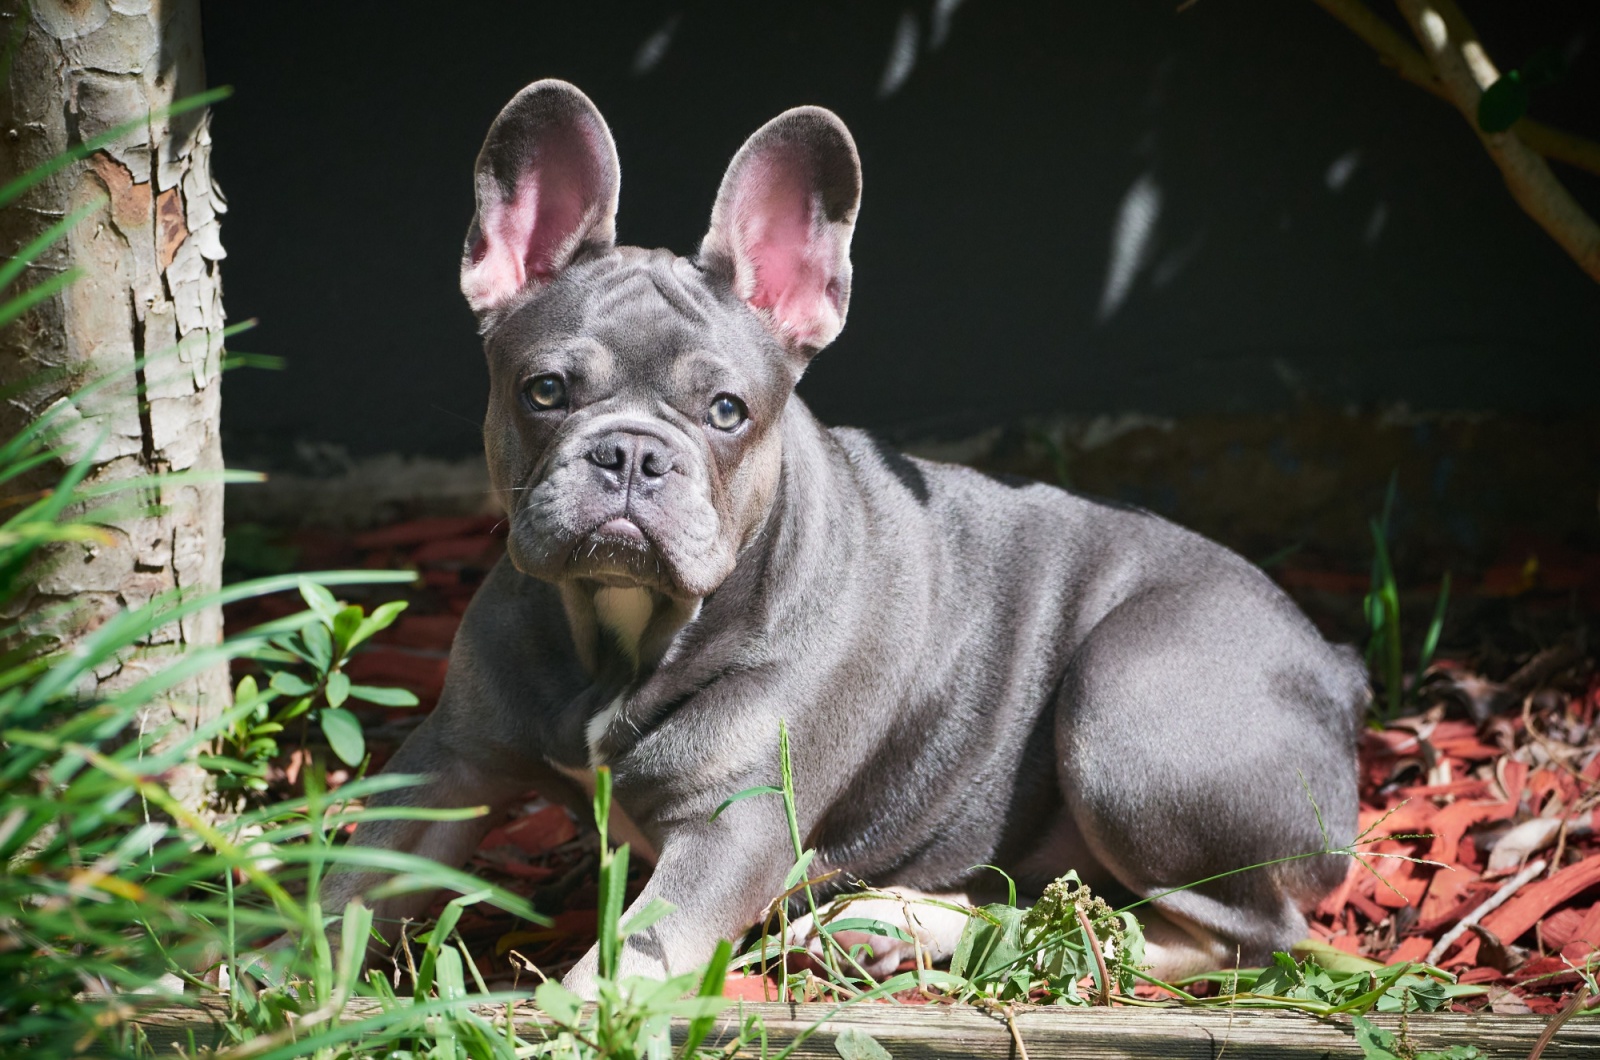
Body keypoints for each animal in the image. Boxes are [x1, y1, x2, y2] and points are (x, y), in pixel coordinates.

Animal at [324, 76, 1363, 999]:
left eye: (727, 412)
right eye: (544, 391)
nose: (630, 454)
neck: (622, 638)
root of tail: (1338, 668)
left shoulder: (731, 829)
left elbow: (620, 973)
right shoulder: (447, 763)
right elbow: (346, 888)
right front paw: (288, 981)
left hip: (1128, 702)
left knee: (1237, 935)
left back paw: (909, 922)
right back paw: (892, 926)